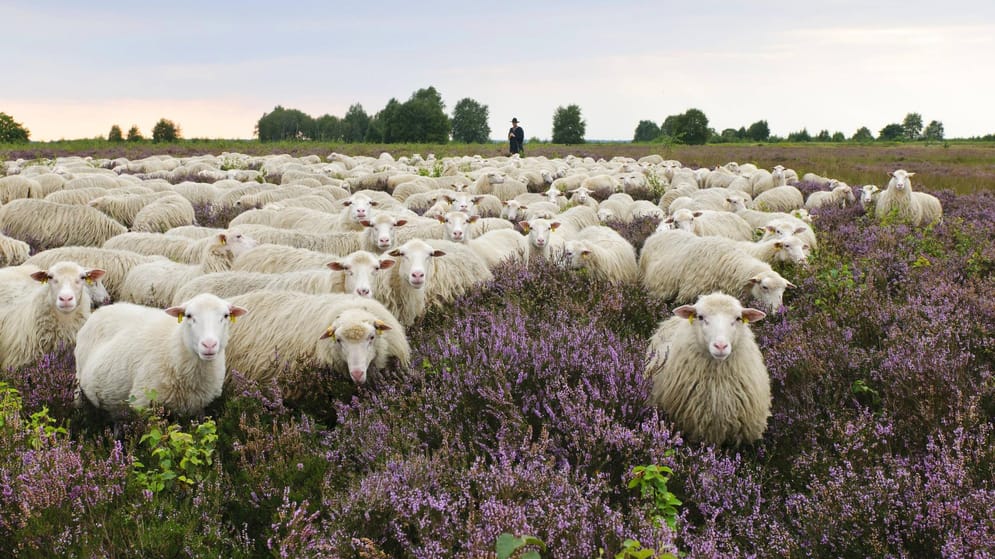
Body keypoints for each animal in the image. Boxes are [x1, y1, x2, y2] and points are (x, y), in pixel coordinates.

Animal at [72, 294, 247, 416]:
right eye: (189, 316)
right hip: (79, 384)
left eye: (225, 316)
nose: (209, 344)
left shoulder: (198, 406)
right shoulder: (142, 402)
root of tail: (101, 309)